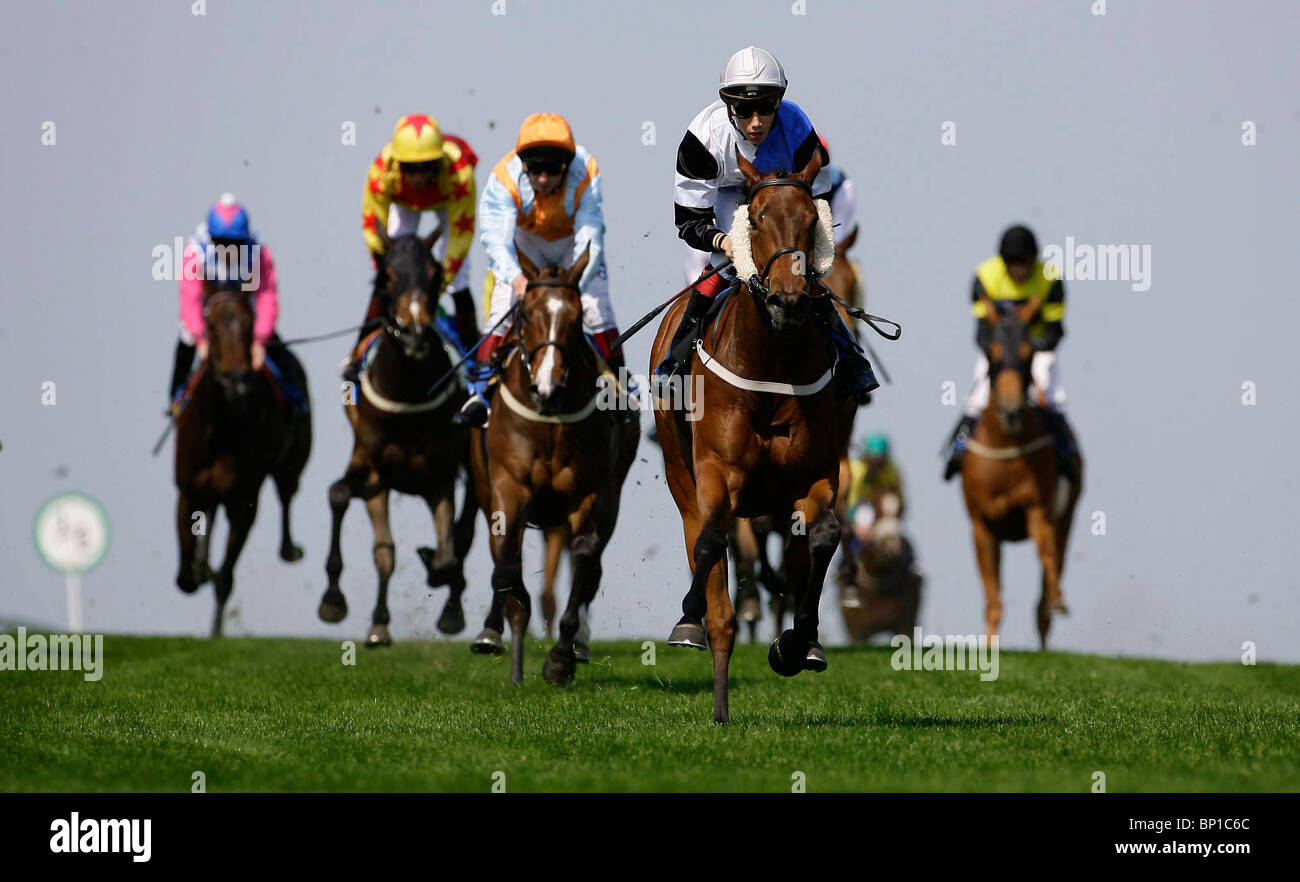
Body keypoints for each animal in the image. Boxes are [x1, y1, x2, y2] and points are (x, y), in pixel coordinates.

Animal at [318, 232, 478, 650]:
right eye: (387, 277)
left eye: (436, 275)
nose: (414, 334)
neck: (406, 395)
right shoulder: (372, 469)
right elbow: (340, 497)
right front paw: (334, 600)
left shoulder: (440, 476)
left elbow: (450, 548)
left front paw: (439, 572)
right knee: (386, 548)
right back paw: (379, 622)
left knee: (467, 531)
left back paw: (452, 608)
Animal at [467, 245, 639, 686]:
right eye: (526, 314)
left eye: (577, 318)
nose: (547, 387)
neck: (548, 420)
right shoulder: (507, 486)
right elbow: (506, 563)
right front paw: (511, 625)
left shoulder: (591, 492)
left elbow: (583, 559)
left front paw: (561, 657)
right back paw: (494, 635)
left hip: (611, 500)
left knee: (591, 566)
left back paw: (575, 645)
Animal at [647, 147, 842, 723]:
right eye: (754, 219)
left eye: (812, 220)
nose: (788, 303)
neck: (773, 365)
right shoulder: (717, 471)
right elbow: (712, 543)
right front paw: (690, 615)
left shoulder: (816, 473)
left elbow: (824, 537)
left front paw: (795, 644)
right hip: (680, 474)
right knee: (704, 549)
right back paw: (715, 690)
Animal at [961, 296, 1081, 650]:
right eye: (992, 351)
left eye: (1029, 353)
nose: (1012, 410)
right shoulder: (981, 524)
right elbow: (992, 598)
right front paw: (989, 647)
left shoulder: (1038, 509)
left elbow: (1047, 554)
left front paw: (1057, 601)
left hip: (1068, 516)